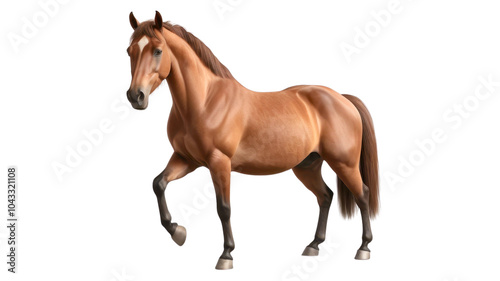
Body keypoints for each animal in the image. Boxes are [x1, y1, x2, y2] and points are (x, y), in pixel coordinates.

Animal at [125, 11, 378, 270]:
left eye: (158, 50)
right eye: (129, 51)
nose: (136, 96)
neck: (205, 101)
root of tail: (343, 99)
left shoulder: (219, 163)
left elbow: (223, 208)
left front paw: (226, 254)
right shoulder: (186, 159)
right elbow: (158, 184)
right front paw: (178, 232)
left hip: (344, 164)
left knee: (362, 196)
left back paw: (364, 248)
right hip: (307, 166)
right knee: (325, 196)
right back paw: (314, 245)